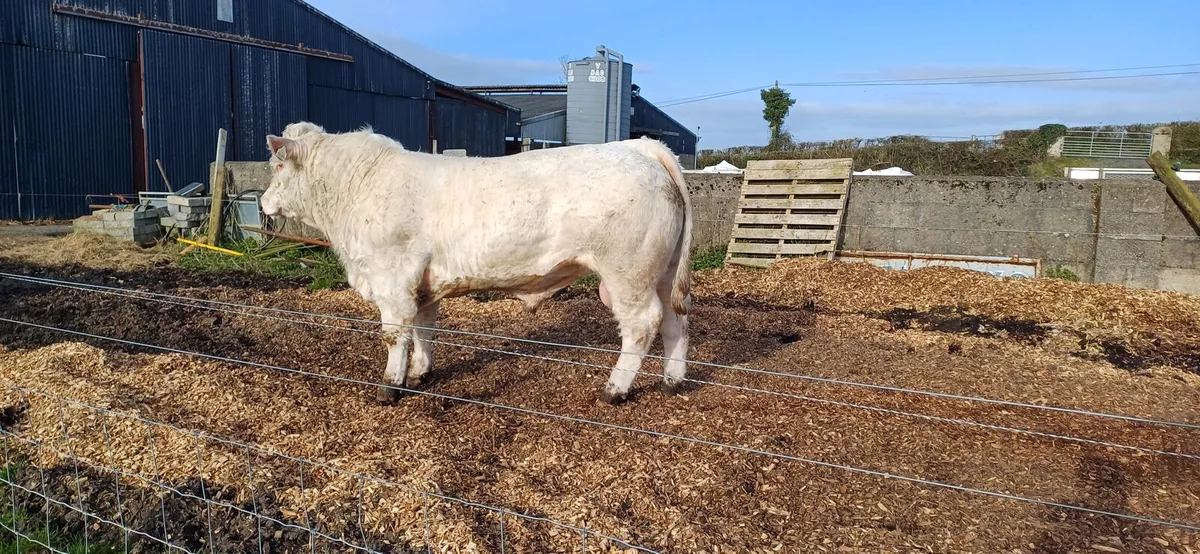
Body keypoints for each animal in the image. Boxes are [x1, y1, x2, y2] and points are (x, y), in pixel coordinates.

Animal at [260, 123, 693, 406]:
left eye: (278, 165)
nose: (262, 202)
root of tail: (639, 147)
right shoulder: (423, 283)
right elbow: (424, 329)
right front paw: (420, 372)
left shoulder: (392, 278)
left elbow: (395, 334)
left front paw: (389, 386)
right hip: (663, 270)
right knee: (676, 320)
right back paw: (672, 381)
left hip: (627, 272)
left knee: (642, 324)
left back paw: (614, 389)